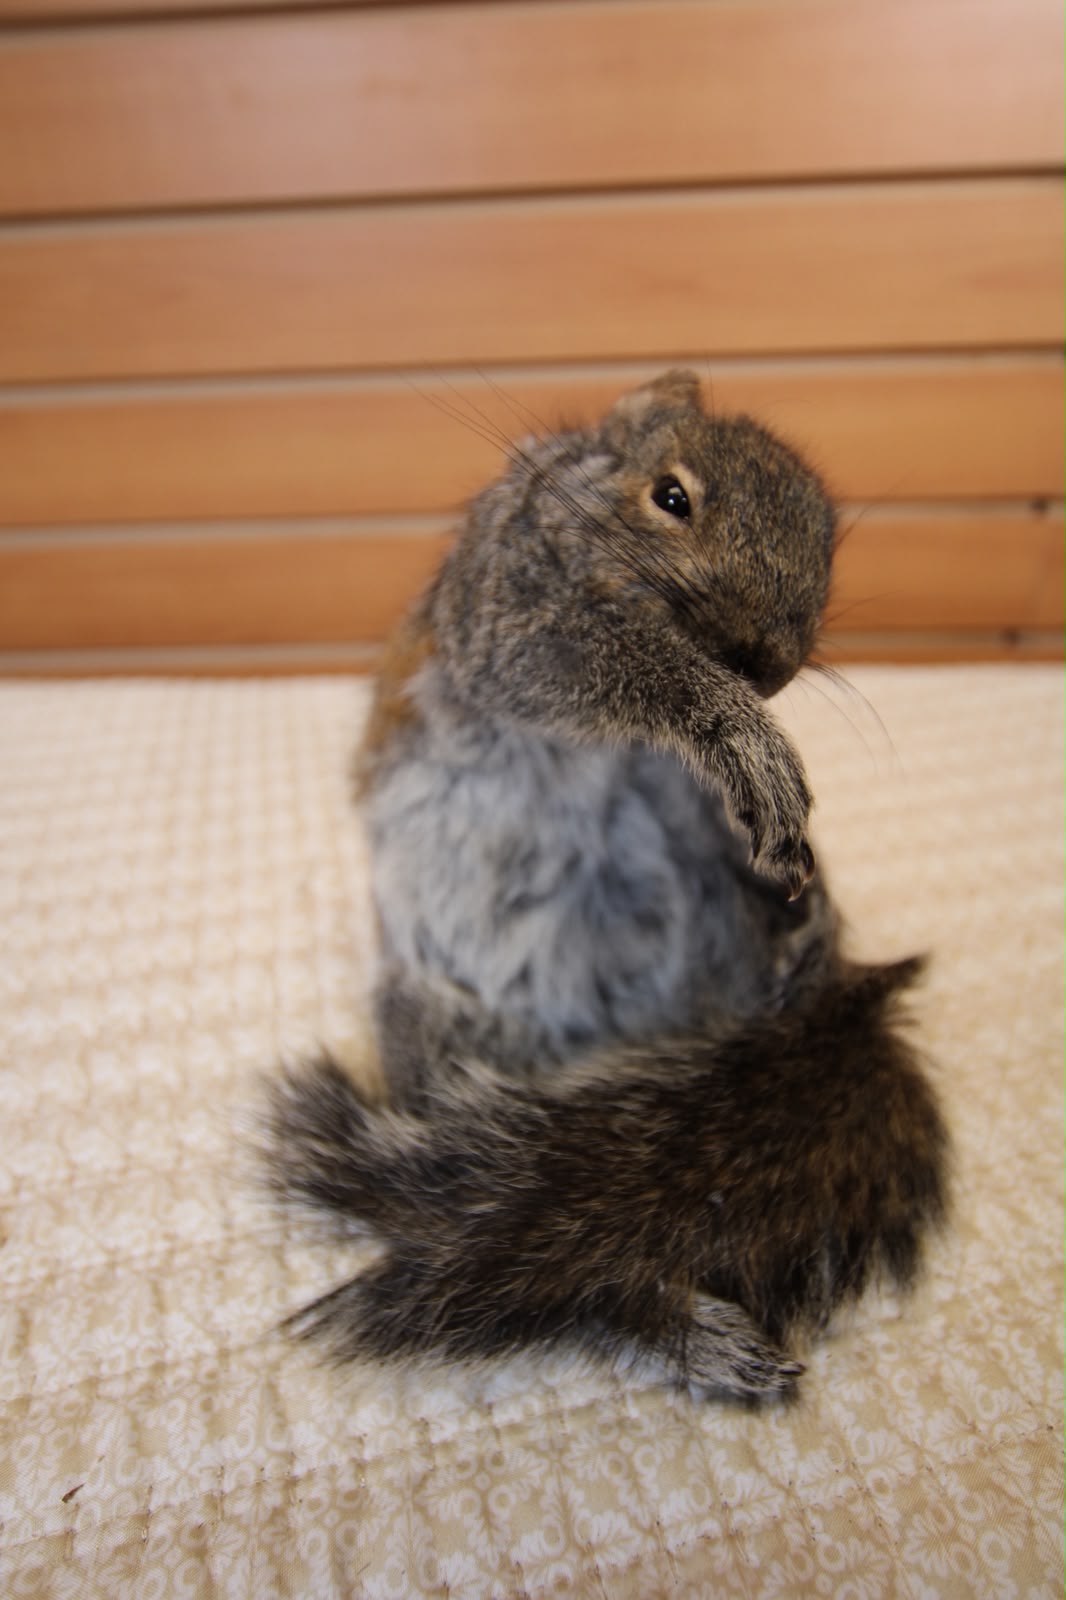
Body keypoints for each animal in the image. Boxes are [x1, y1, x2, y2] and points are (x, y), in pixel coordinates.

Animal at [262, 370, 948, 1400]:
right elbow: (605, 667)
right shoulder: (506, 608)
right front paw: (739, 731)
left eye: (829, 539)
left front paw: (812, 880)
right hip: (436, 1037)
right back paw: (693, 1334)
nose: (765, 660)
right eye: (671, 497)